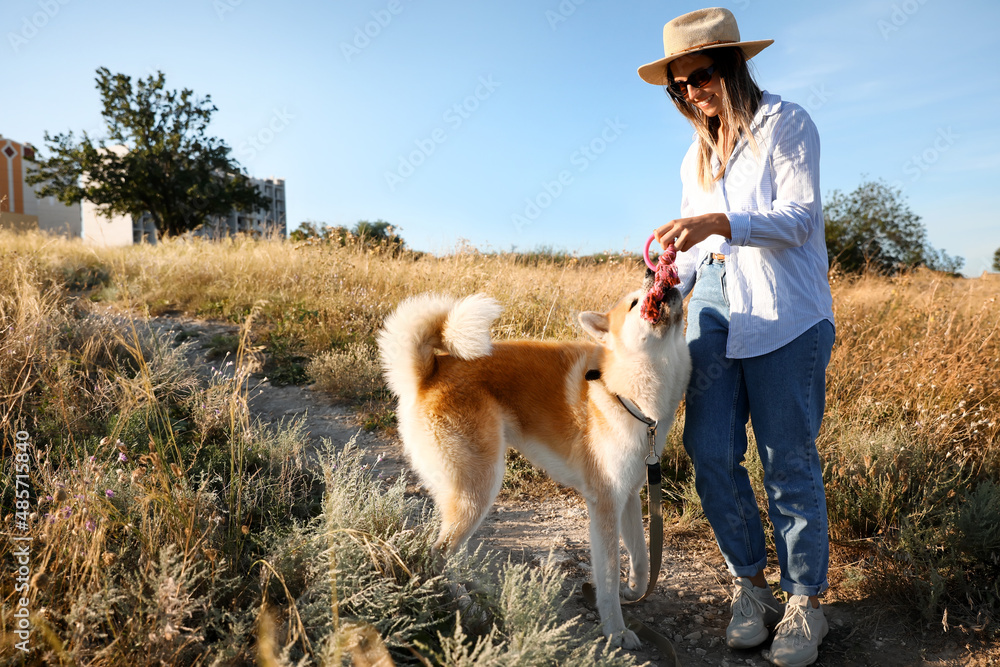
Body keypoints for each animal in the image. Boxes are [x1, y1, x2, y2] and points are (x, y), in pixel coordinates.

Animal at [376, 272, 688, 648]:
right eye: (634, 302)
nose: (653, 274)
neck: (627, 391)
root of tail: (430, 371)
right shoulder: (604, 503)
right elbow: (608, 578)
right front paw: (616, 630)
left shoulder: (628, 495)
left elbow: (641, 558)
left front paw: (634, 590)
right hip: (478, 489)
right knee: (438, 553)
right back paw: (464, 603)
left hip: (464, 493)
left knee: (447, 551)